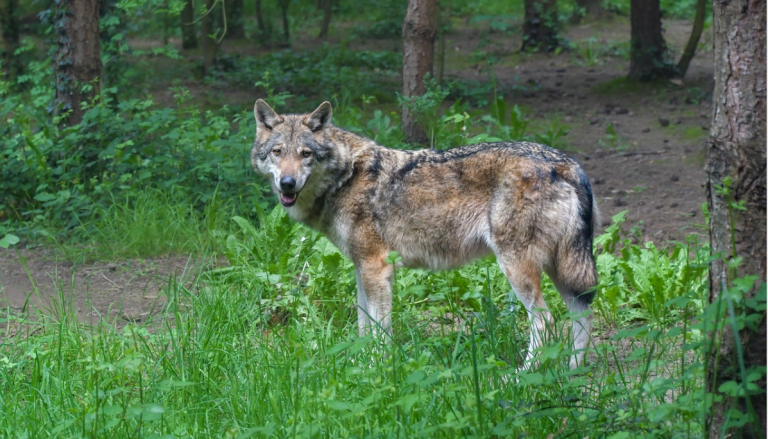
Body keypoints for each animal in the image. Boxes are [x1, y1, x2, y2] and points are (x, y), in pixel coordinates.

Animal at [251, 99, 600, 369]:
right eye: (277, 152)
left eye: (305, 154)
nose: (287, 183)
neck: (346, 177)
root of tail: (566, 163)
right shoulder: (362, 269)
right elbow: (364, 327)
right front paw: (358, 366)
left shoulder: (377, 268)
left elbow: (380, 330)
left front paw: (377, 369)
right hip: (561, 268)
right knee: (582, 315)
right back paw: (572, 373)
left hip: (518, 268)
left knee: (546, 321)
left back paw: (521, 377)